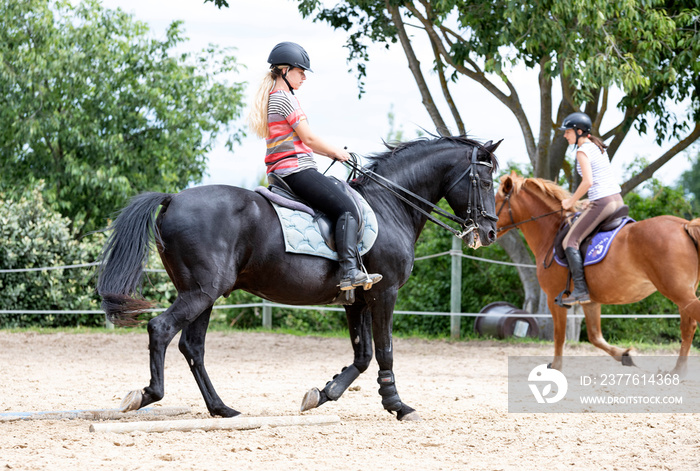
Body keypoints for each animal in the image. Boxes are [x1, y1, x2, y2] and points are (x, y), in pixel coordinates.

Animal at [100, 136, 504, 420]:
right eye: (485, 181)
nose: (489, 232)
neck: (391, 207)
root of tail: (173, 199)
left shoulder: (357, 298)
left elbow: (363, 355)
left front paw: (323, 394)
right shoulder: (384, 293)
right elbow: (385, 351)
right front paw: (398, 406)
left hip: (204, 294)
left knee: (192, 347)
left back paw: (221, 408)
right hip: (202, 292)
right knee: (162, 330)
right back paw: (148, 395)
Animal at [494, 171, 700, 374]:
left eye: (495, 201)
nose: (487, 233)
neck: (550, 233)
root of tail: (684, 225)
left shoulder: (554, 298)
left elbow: (559, 336)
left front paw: (556, 367)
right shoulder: (590, 301)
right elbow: (595, 337)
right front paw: (626, 355)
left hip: (679, 293)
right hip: (684, 295)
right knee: (687, 328)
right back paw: (678, 370)